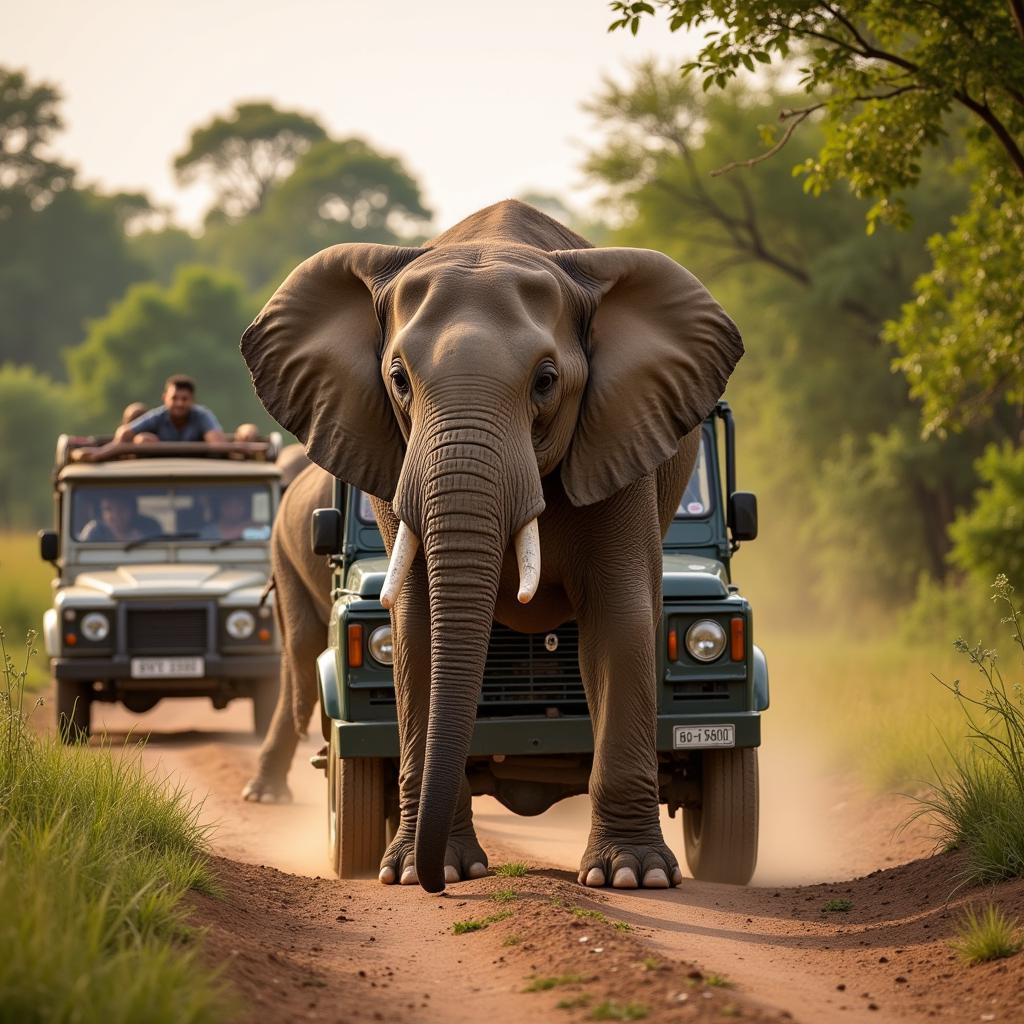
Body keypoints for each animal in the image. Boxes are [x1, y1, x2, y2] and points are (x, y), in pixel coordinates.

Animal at [238, 197, 741, 888]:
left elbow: (622, 616)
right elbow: (414, 626)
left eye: (546, 380)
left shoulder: (623, 437)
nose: (435, 884)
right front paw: (415, 871)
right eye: (399, 379)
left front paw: (632, 877)